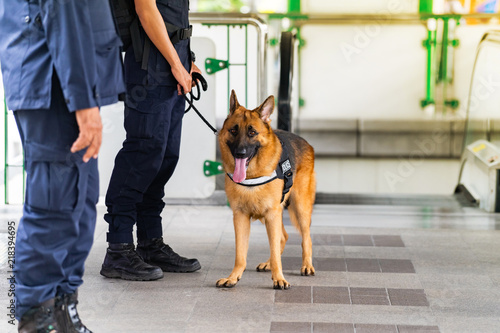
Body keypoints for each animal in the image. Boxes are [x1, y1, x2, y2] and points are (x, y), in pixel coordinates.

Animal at [216, 90, 316, 288]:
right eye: (233, 130)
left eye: (252, 132)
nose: (240, 153)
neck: (252, 175)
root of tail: (306, 142)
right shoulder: (241, 217)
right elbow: (240, 254)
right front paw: (233, 277)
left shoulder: (272, 214)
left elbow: (276, 251)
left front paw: (279, 279)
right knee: (283, 237)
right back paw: (268, 264)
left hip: (299, 208)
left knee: (305, 238)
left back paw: (307, 266)